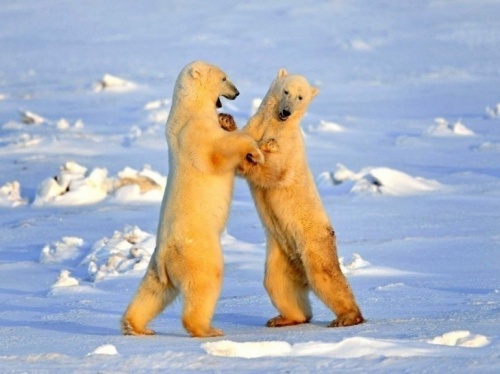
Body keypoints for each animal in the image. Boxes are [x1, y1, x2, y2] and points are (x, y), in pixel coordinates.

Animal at [121, 60, 264, 338]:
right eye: (224, 78)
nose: (237, 92)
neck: (189, 108)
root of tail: (165, 255)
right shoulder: (196, 132)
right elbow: (218, 153)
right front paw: (255, 149)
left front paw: (228, 121)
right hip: (197, 252)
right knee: (205, 282)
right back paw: (208, 329)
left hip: (157, 266)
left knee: (153, 292)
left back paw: (135, 326)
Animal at [238, 69, 364, 328]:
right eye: (286, 91)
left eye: (300, 97)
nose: (286, 112)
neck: (277, 125)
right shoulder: (255, 126)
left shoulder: (290, 147)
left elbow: (274, 169)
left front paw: (262, 150)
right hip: (280, 251)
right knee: (277, 283)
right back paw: (284, 318)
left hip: (313, 241)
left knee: (325, 276)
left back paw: (348, 317)